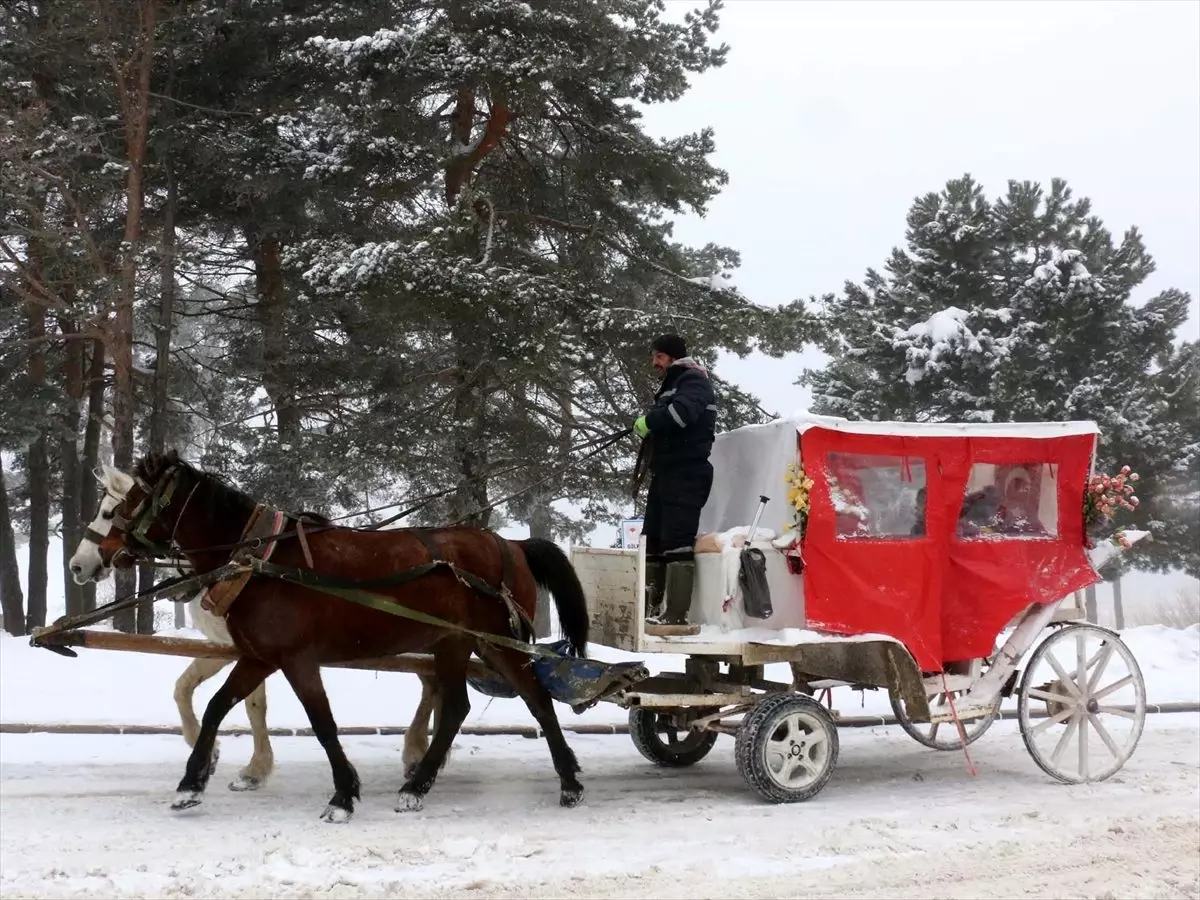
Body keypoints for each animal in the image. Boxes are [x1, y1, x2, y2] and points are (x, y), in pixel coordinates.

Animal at [98, 451, 590, 825]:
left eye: (129, 501)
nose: (105, 552)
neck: (263, 560)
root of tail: (513, 544)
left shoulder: (296, 658)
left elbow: (322, 723)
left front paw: (342, 796)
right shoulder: (260, 656)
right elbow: (219, 706)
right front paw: (192, 784)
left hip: (496, 640)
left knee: (533, 701)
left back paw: (565, 782)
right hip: (459, 642)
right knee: (467, 708)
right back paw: (422, 786)